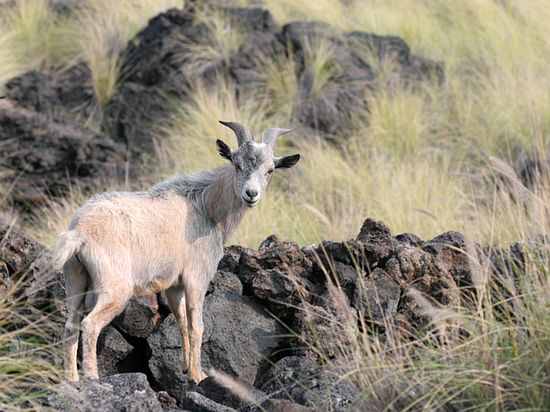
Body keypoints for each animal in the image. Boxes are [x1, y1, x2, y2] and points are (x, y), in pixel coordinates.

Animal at [52, 120, 302, 384]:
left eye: (270, 170)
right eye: (236, 164)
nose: (251, 194)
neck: (206, 207)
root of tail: (79, 232)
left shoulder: (174, 284)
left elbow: (181, 321)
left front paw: (185, 368)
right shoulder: (196, 277)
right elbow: (197, 325)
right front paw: (197, 375)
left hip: (76, 280)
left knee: (70, 326)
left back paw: (72, 379)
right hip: (114, 287)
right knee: (90, 324)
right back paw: (92, 377)